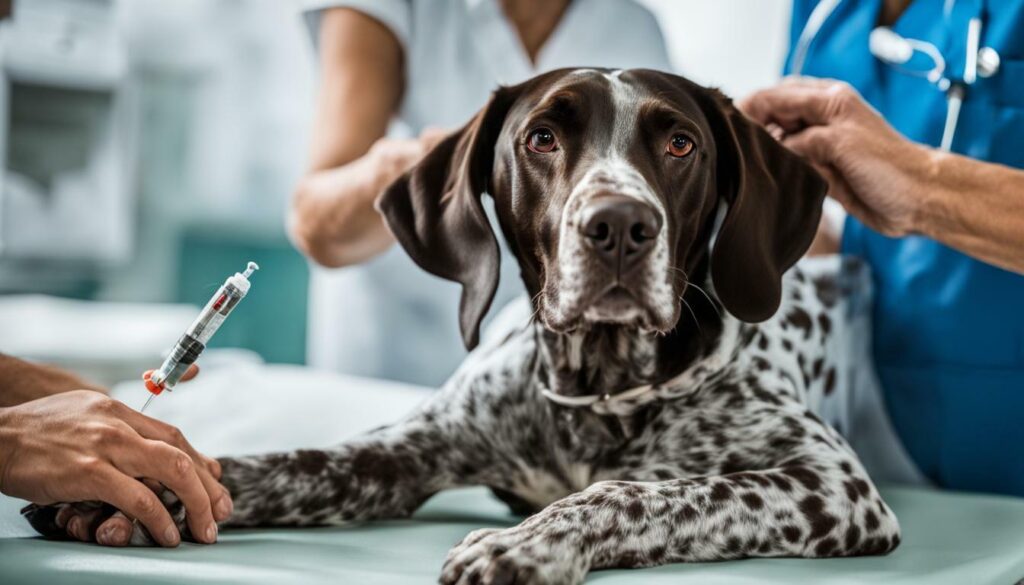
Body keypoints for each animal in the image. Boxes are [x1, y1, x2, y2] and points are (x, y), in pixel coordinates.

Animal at [28, 69, 901, 585]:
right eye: (541, 137)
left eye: (681, 143)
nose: (619, 226)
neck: (594, 389)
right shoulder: (401, 454)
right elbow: (267, 464)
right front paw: (143, 482)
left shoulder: (832, 484)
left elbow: (641, 490)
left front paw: (529, 541)